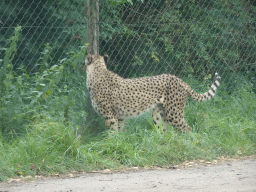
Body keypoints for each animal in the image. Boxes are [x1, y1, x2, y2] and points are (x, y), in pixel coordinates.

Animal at [85, 53, 220, 132]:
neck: (98, 72)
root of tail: (180, 80)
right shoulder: (120, 116)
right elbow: (119, 132)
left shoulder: (111, 116)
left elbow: (112, 134)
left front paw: (110, 144)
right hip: (159, 113)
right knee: (163, 131)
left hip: (173, 114)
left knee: (187, 129)